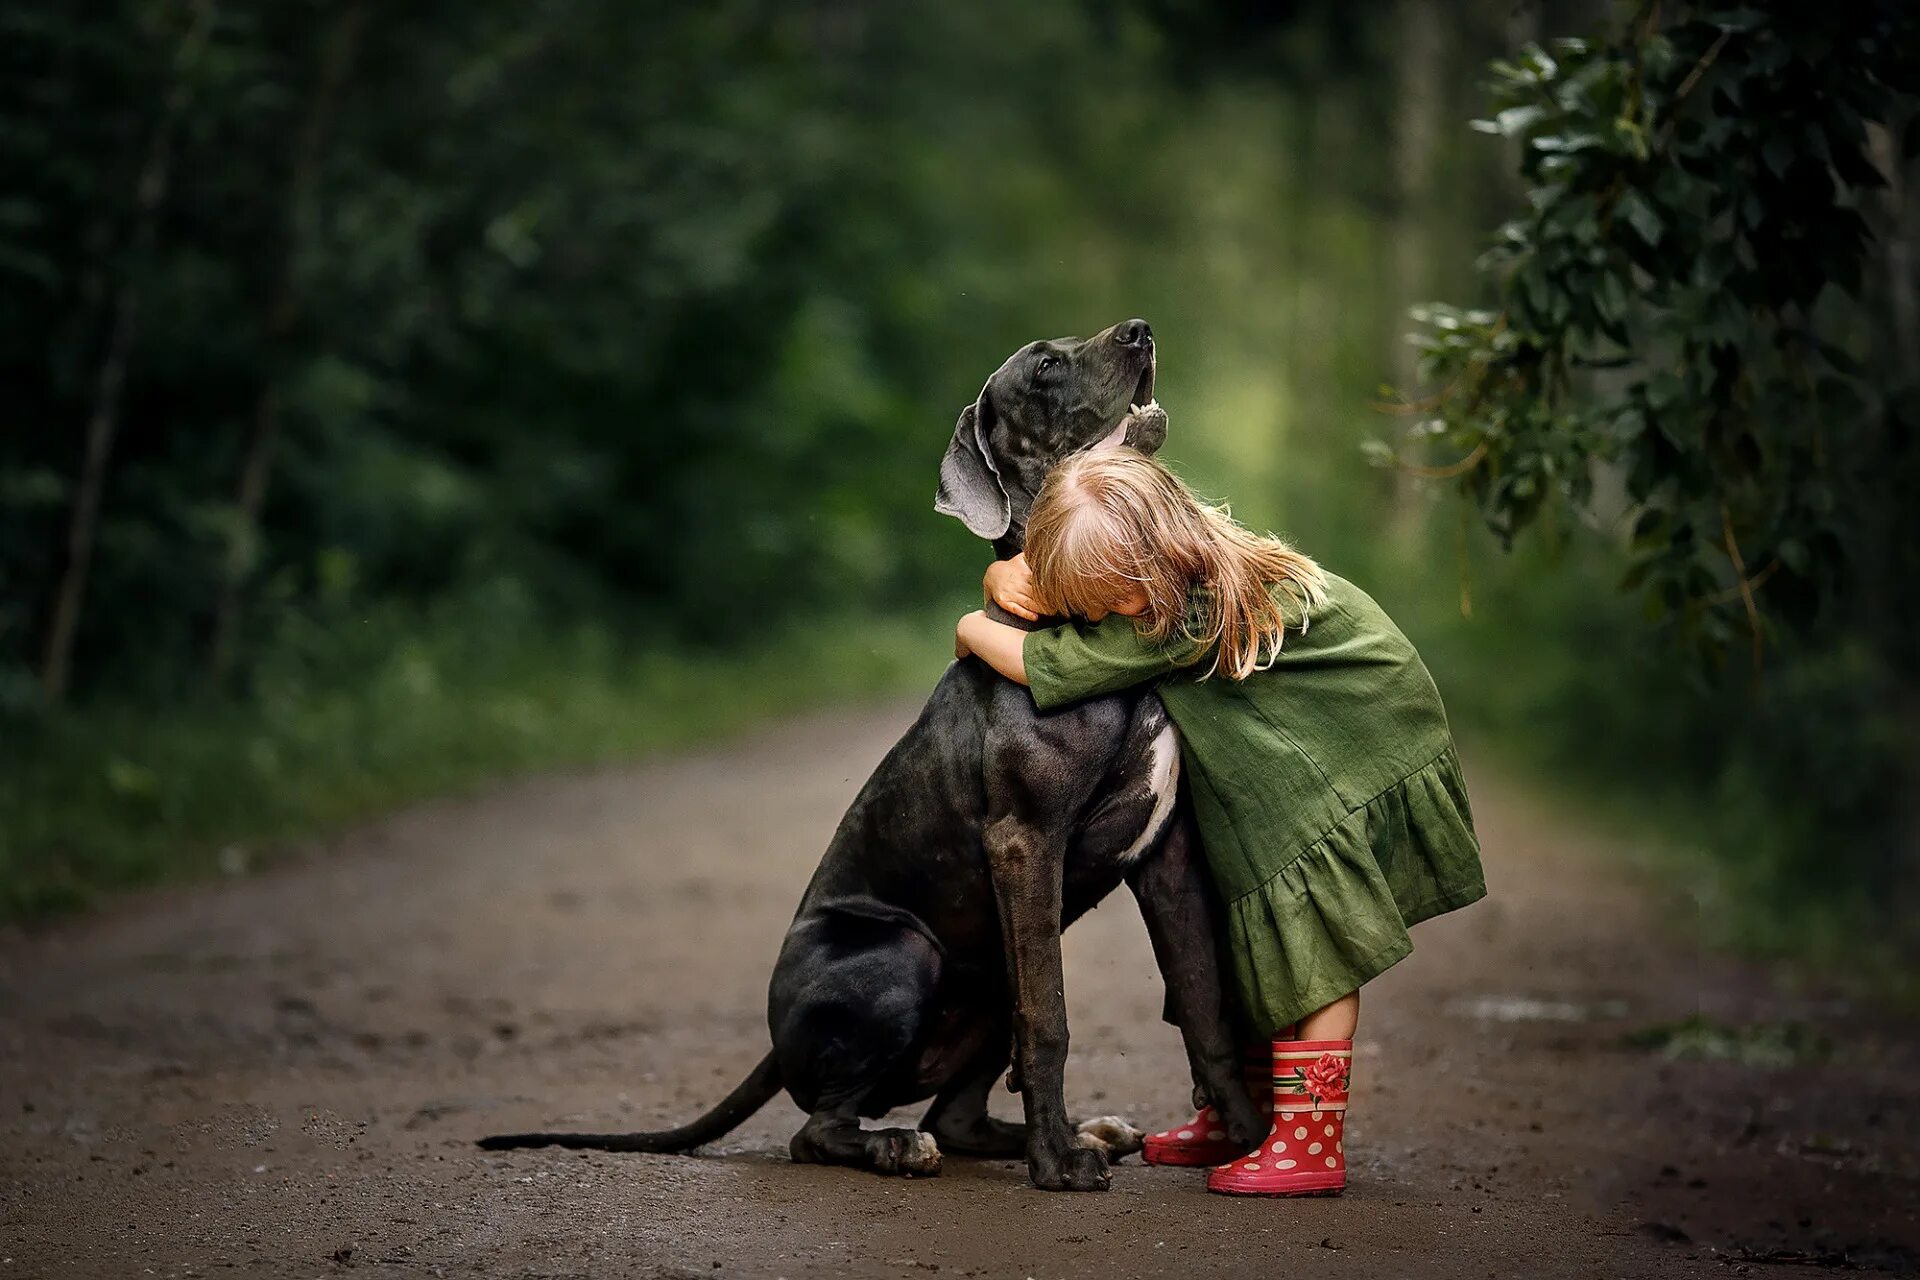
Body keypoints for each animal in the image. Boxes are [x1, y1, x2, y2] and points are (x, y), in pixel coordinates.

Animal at [478, 320, 1259, 1189]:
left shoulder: (1166, 854)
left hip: (987, 978)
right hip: (902, 952)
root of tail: (773, 1045)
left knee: (954, 1115)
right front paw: (1057, 1165)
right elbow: (1050, 1018)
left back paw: (1081, 1130)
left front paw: (1245, 1137)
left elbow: (1203, 1001)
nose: (1140, 330)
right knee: (820, 1128)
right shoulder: (1025, 843)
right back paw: (905, 1146)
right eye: (1046, 367)